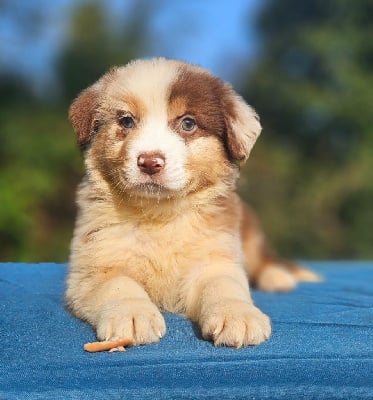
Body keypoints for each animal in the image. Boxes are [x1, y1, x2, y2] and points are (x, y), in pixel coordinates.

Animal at [64, 57, 316, 348]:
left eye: (187, 123)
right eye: (126, 121)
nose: (149, 162)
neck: (159, 213)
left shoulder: (217, 256)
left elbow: (223, 285)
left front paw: (237, 315)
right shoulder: (93, 266)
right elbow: (118, 285)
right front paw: (133, 315)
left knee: (263, 258)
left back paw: (277, 277)